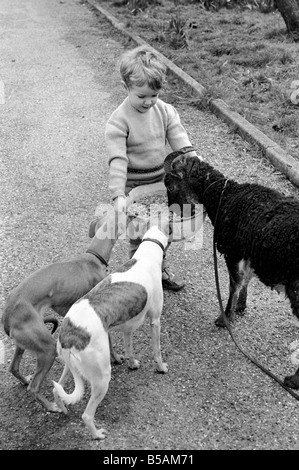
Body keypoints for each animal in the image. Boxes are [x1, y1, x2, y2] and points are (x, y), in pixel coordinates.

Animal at [1, 210, 125, 412]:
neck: (92, 257)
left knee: (13, 368)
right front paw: (116, 358)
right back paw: (53, 407)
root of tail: (6, 315)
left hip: (25, 343)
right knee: (33, 387)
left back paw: (24, 380)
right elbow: (111, 343)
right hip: (48, 348)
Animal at [53, 224, 170, 436]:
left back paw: (62, 409)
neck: (146, 255)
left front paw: (132, 364)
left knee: (56, 390)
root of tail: (68, 333)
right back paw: (97, 435)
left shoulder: (128, 328)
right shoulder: (155, 321)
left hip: (69, 367)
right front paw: (161, 367)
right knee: (86, 415)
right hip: (101, 377)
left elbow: (129, 348)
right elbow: (157, 350)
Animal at [164, 151, 299, 390]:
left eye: (170, 185)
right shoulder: (247, 250)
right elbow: (245, 279)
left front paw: (225, 317)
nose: (173, 212)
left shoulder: (233, 250)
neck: (223, 195)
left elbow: (234, 282)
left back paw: (293, 380)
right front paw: (240, 307)